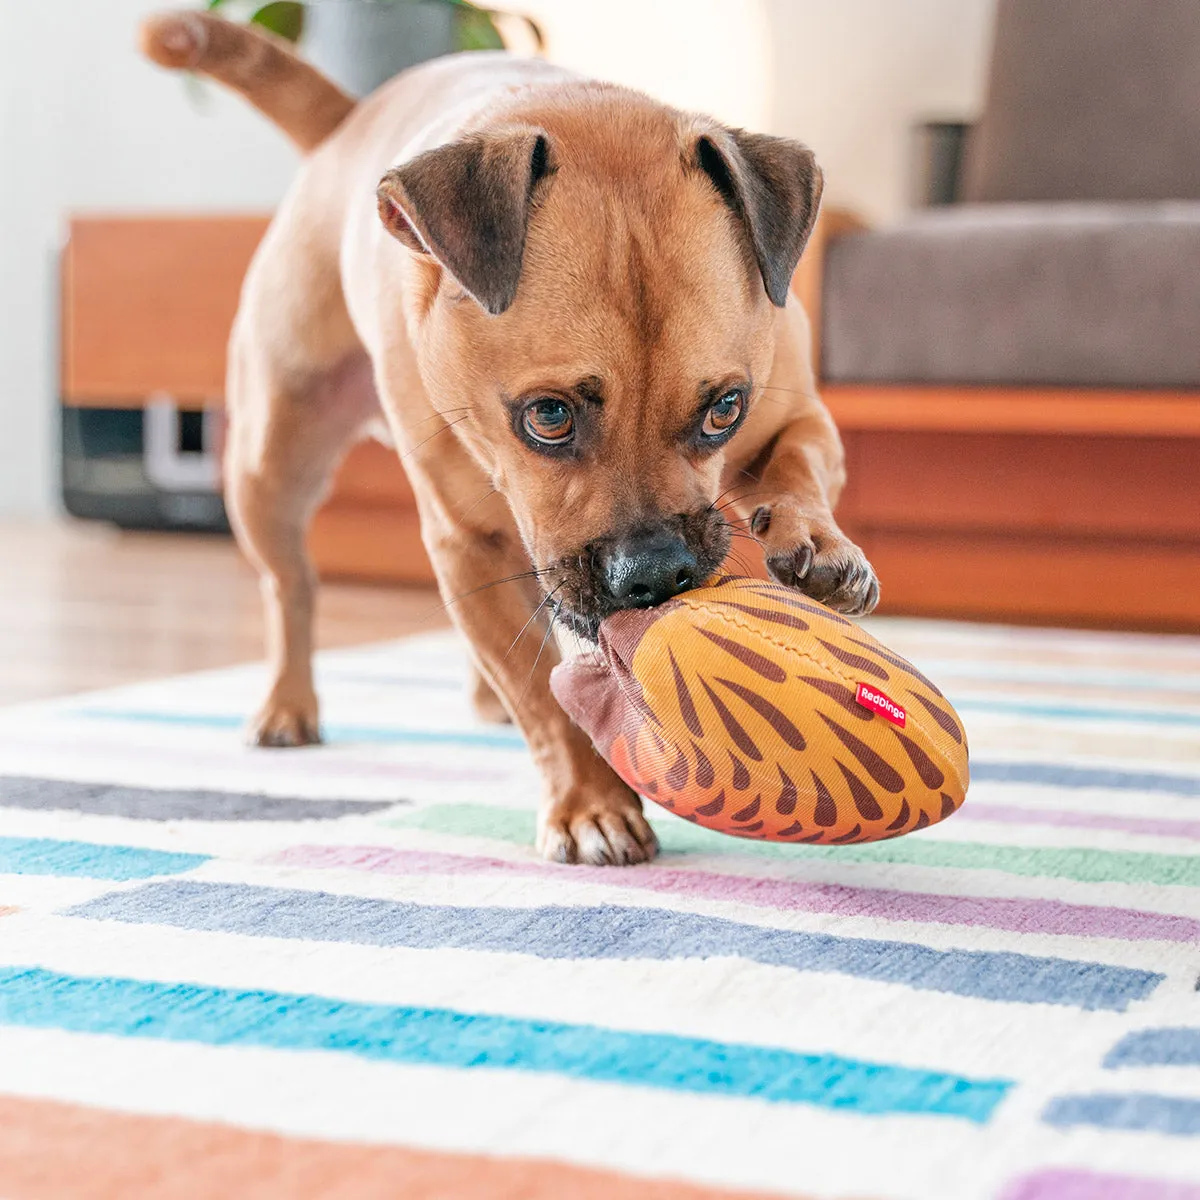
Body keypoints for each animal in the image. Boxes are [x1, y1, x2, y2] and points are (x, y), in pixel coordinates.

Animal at [140, 14, 878, 868]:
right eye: (547, 417)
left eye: (724, 409)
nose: (657, 573)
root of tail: (347, 121)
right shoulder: (468, 543)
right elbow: (539, 694)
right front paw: (591, 805)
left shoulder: (796, 415)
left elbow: (798, 465)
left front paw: (820, 546)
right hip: (269, 466)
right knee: (290, 587)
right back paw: (288, 703)